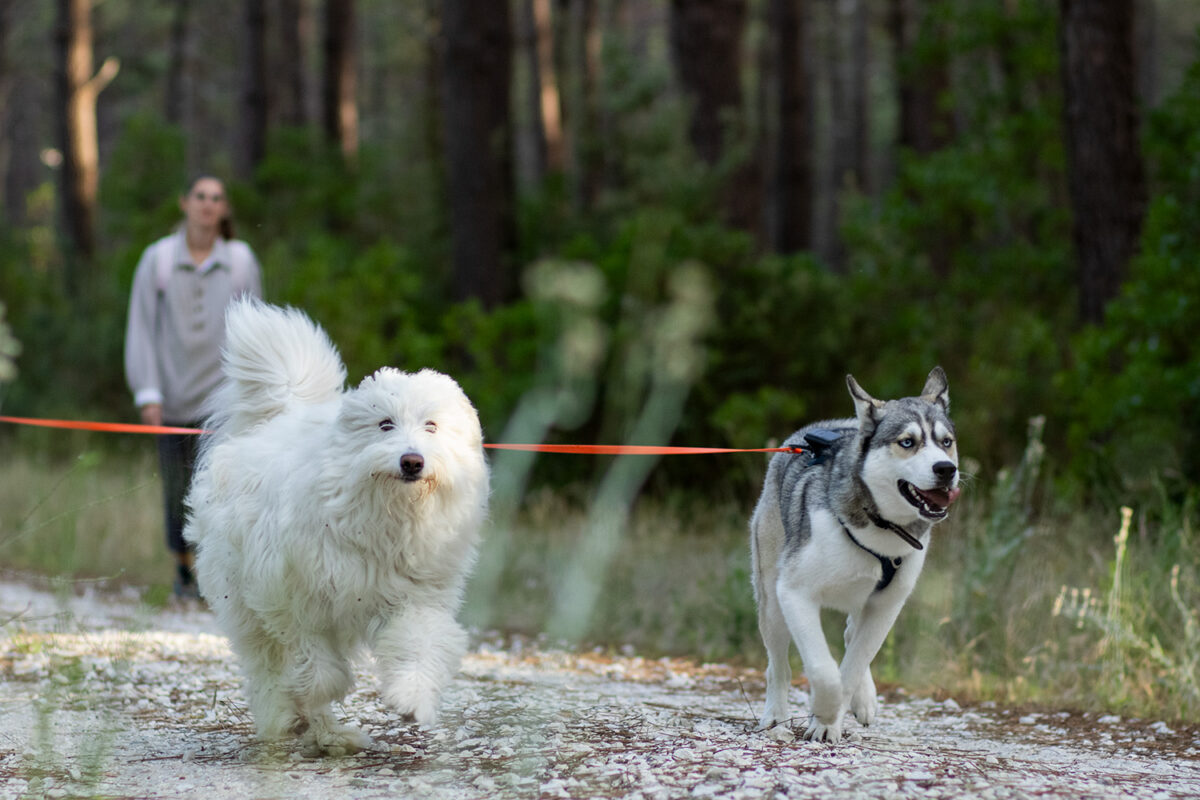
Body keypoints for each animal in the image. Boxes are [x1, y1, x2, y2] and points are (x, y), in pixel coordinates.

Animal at [184, 299, 489, 758]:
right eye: (385, 424)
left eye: (431, 426)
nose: (412, 461)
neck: (387, 515)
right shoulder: (299, 603)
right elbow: (318, 673)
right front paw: (307, 711)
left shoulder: (416, 598)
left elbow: (419, 645)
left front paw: (411, 697)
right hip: (242, 601)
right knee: (266, 665)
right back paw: (289, 721)